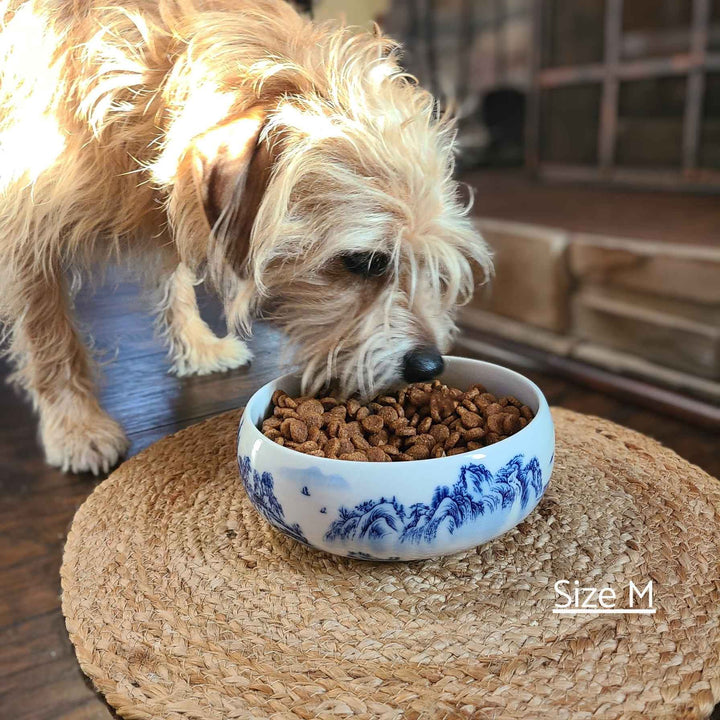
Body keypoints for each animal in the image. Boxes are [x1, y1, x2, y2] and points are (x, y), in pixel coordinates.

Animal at [0, 0, 490, 476]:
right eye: (364, 261)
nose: (430, 366)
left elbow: (178, 278)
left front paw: (198, 346)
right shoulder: (24, 225)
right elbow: (49, 336)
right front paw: (75, 426)